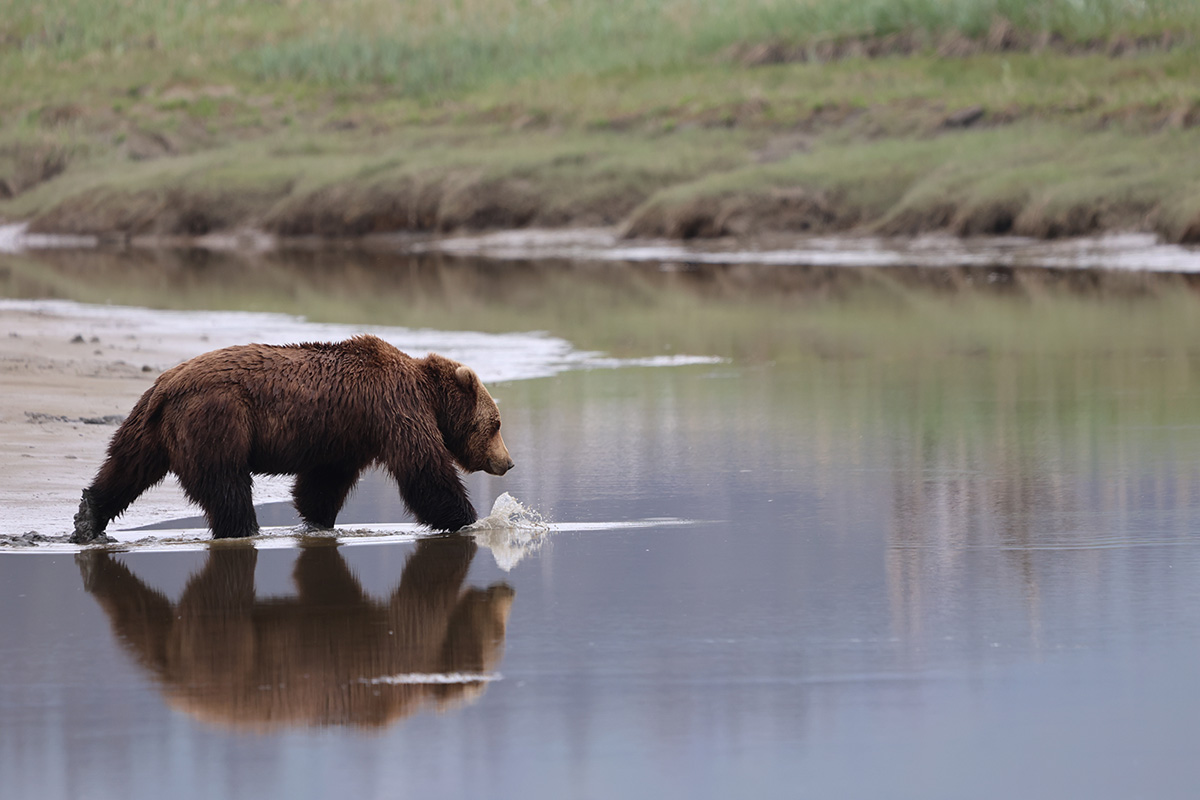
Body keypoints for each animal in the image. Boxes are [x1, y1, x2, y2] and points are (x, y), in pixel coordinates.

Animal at [71, 334, 513, 543]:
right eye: (496, 424)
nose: (507, 462)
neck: (429, 395)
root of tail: (167, 385)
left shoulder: (346, 432)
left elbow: (323, 482)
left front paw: (317, 521)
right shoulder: (393, 409)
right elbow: (424, 471)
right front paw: (475, 519)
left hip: (150, 424)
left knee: (128, 465)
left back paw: (88, 515)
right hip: (218, 419)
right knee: (226, 485)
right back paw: (244, 529)